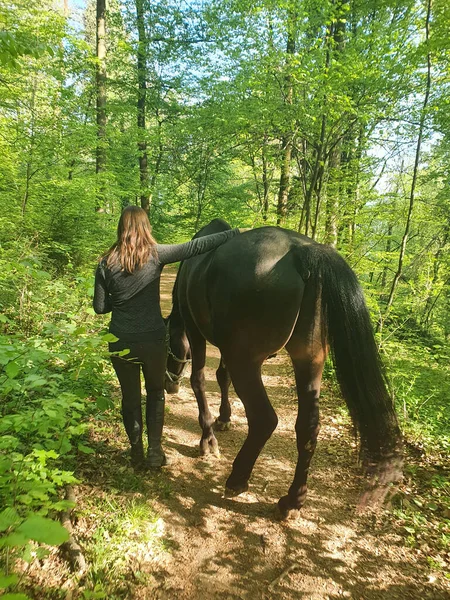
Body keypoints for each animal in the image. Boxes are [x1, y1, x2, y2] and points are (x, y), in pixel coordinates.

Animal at [164, 218, 400, 516]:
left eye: (166, 346)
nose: (169, 385)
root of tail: (303, 252)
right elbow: (222, 377)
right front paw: (225, 417)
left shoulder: (196, 332)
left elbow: (200, 379)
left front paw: (208, 439)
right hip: (309, 361)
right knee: (309, 427)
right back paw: (293, 499)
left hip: (247, 361)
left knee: (264, 419)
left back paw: (238, 479)